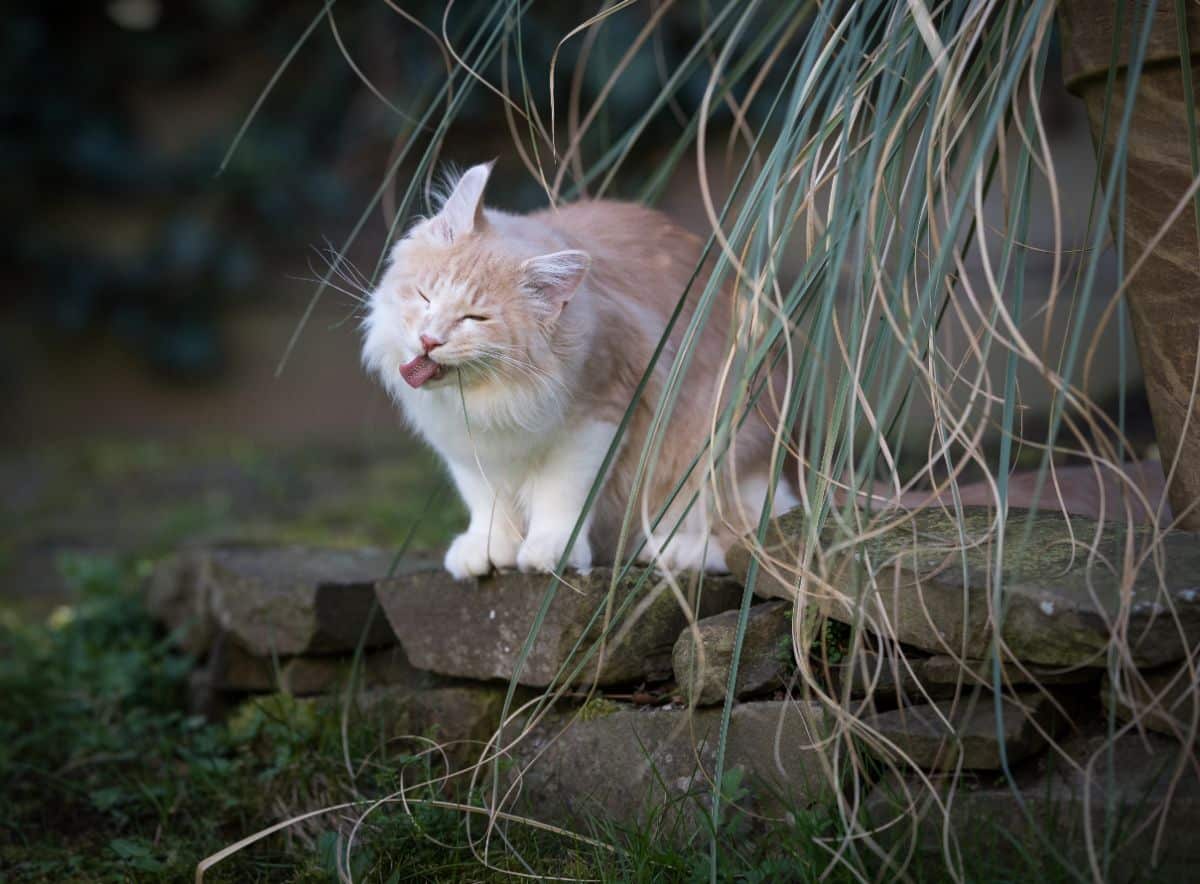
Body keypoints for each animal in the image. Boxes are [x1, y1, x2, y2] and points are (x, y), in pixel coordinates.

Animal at [360, 161, 801, 580]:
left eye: (475, 317)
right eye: (425, 296)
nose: (429, 340)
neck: (490, 399)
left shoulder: (598, 415)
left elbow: (562, 494)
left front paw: (551, 549)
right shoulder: (467, 446)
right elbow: (486, 502)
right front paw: (487, 548)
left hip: (712, 446)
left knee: (740, 535)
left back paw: (670, 550)